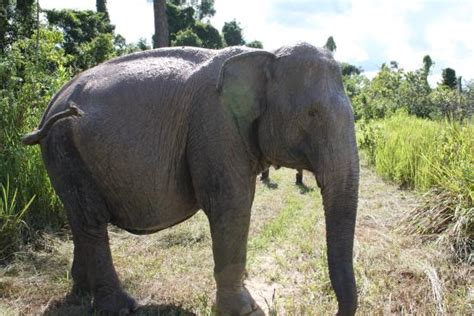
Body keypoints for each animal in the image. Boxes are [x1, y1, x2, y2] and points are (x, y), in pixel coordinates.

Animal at [23, 42, 360, 316]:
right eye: (312, 114)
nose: (332, 309)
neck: (265, 53)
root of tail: (51, 106)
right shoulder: (216, 127)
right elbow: (231, 206)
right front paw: (245, 310)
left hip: (63, 153)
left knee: (81, 221)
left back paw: (81, 294)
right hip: (65, 147)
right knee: (91, 221)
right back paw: (121, 307)